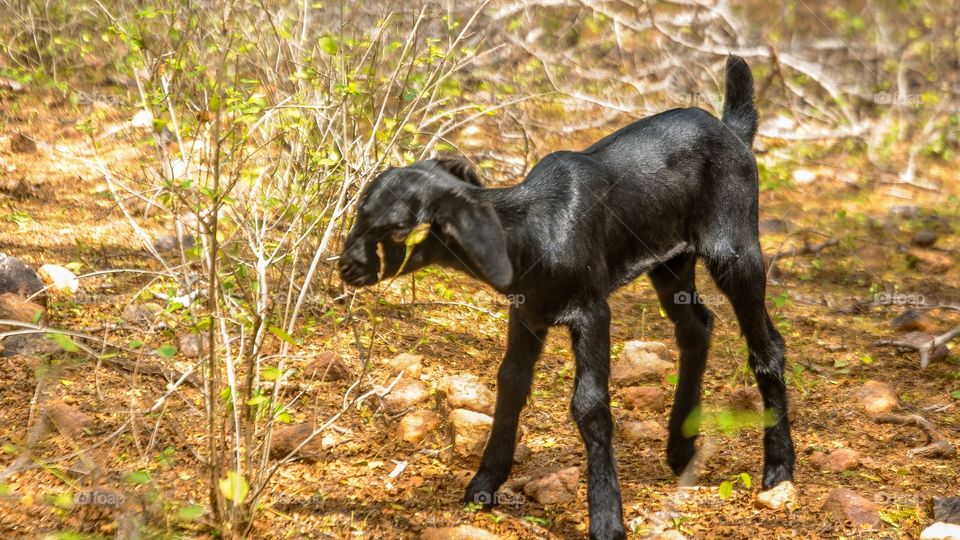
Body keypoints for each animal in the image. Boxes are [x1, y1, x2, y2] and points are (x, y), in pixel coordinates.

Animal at [338, 57, 796, 536]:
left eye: (397, 229)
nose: (347, 266)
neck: (535, 228)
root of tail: (733, 130)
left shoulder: (592, 311)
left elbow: (589, 405)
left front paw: (608, 518)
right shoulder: (527, 314)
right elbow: (511, 381)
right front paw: (484, 483)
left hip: (734, 247)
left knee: (768, 346)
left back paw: (779, 468)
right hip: (671, 261)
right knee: (696, 327)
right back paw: (681, 448)